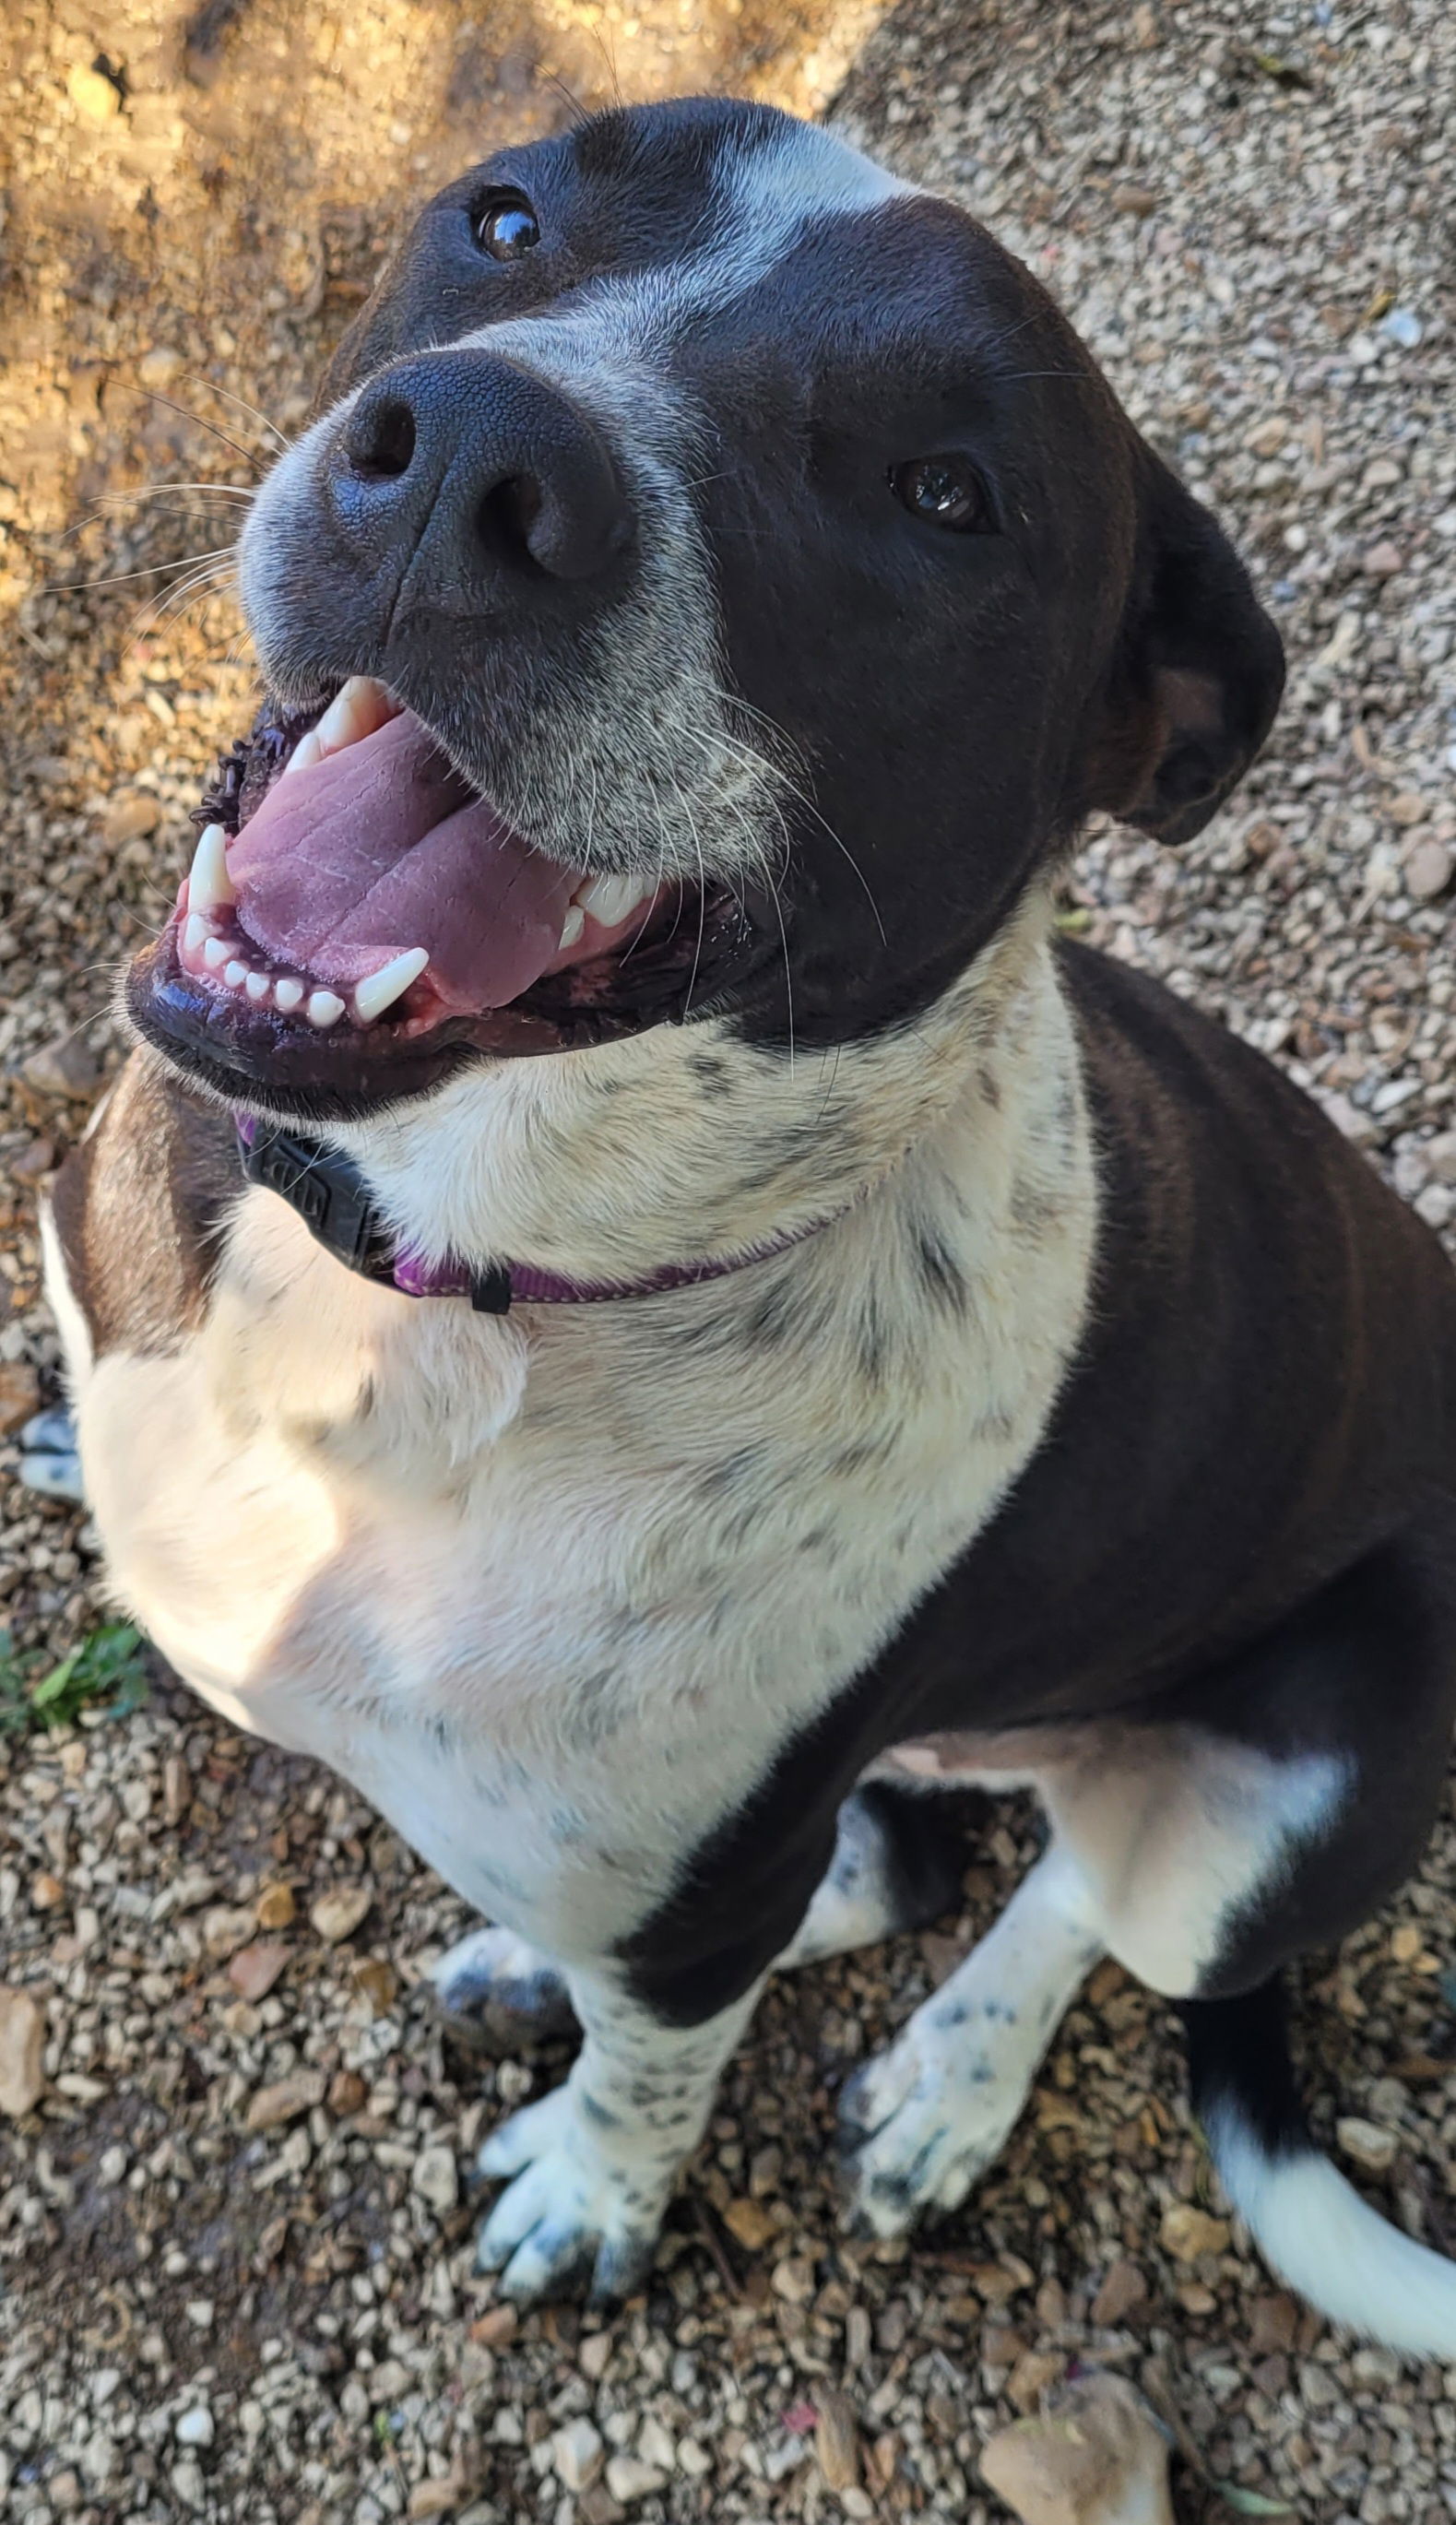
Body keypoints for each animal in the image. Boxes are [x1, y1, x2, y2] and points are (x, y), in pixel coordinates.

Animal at [40, 93, 1453, 2342]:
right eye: (502, 217)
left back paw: (947, 2086)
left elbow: (664, 2070)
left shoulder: (708, 1873)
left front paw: (593, 2199)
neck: (441, 1284)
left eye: (945, 492)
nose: (462, 459)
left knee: (1076, 1900)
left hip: (1280, 1784)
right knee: (902, 1861)